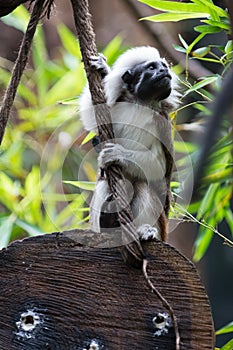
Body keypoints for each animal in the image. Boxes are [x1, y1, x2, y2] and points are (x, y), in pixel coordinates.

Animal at [79, 45, 179, 243]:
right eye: (152, 67)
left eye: (163, 66)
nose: (164, 71)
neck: (141, 103)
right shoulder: (118, 109)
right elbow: (91, 117)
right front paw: (103, 69)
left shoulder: (161, 124)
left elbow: (158, 167)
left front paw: (118, 154)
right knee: (105, 183)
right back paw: (108, 222)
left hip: (162, 224)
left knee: (142, 185)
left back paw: (145, 231)